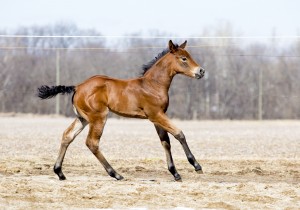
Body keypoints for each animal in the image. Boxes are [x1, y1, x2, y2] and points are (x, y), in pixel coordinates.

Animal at [38, 40, 204, 181]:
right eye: (183, 58)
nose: (201, 71)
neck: (153, 85)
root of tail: (77, 87)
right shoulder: (156, 115)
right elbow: (179, 134)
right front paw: (196, 166)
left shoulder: (158, 117)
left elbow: (165, 142)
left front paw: (175, 173)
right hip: (99, 117)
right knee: (92, 142)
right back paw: (115, 174)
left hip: (83, 118)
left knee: (68, 136)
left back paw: (59, 172)